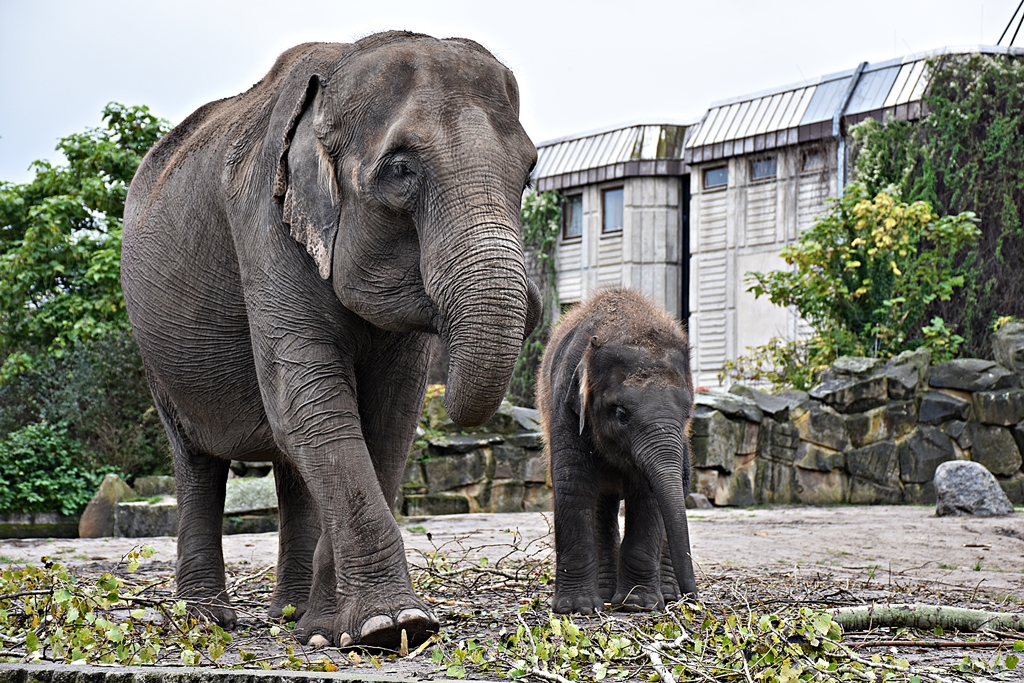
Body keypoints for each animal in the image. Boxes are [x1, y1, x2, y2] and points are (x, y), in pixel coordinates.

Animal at [120, 32, 540, 649]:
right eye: (400, 169)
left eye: (529, 173)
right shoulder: (262, 223)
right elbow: (313, 404)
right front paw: (391, 626)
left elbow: (388, 419)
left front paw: (335, 630)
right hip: (154, 350)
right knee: (197, 458)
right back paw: (205, 619)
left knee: (291, 466)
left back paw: (291, 616)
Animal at [536, 288, 697, 614]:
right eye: (621, 414)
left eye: (687, 413)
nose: (695, 596)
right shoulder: (564, 405)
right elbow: (573, 484)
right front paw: (576, 608)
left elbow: (648, 495)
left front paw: (638, 605)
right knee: (601, 505)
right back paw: (607, 594)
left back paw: (665, 595)